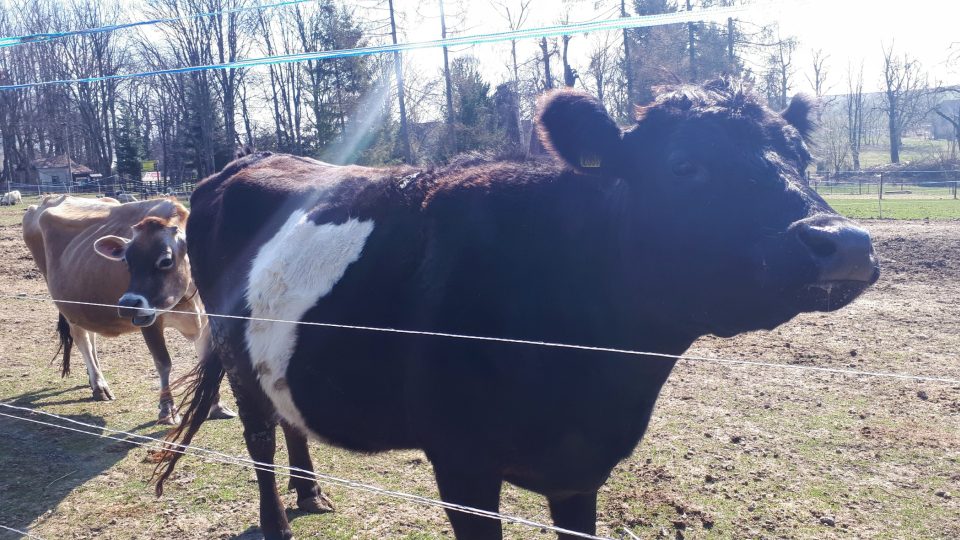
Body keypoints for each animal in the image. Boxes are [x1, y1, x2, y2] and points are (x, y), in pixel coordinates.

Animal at [23, 196, 234, 424]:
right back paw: (99, 385)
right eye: (126, 260)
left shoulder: (209, 319)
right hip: (68, 306)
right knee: (82, 341)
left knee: (91, 339)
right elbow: (163, 362)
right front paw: (167, 410)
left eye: (166, 260)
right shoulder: (149, 319)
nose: (126, 304)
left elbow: (207, 363)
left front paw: (215, 405)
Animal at [159, 80, 876, 540]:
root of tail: (244, 160)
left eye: (803, 157)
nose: (842, 241)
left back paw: (311, 491)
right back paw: (279, 521)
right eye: (683, 165)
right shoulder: (461, 463)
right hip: (236, 355)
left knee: (291, 420)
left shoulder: (579, 472)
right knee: (257, 438)